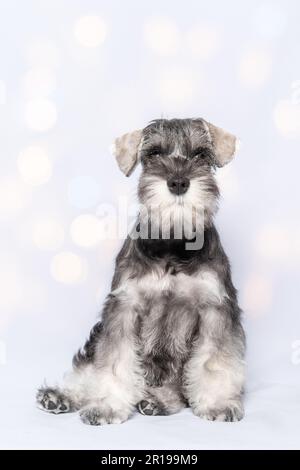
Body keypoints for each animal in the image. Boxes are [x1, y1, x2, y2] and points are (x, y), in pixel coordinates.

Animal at [36, 118, 245, 426]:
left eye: (200, 155)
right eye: (154, 154)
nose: (178, 182)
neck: (173, 243)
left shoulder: (215, 308)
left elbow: (214, 361)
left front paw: (218, 402)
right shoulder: (124, 306)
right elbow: (113, 362)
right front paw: (107, 406)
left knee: (176, 389)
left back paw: (158, 401)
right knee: (87, 370)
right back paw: (61, 396)